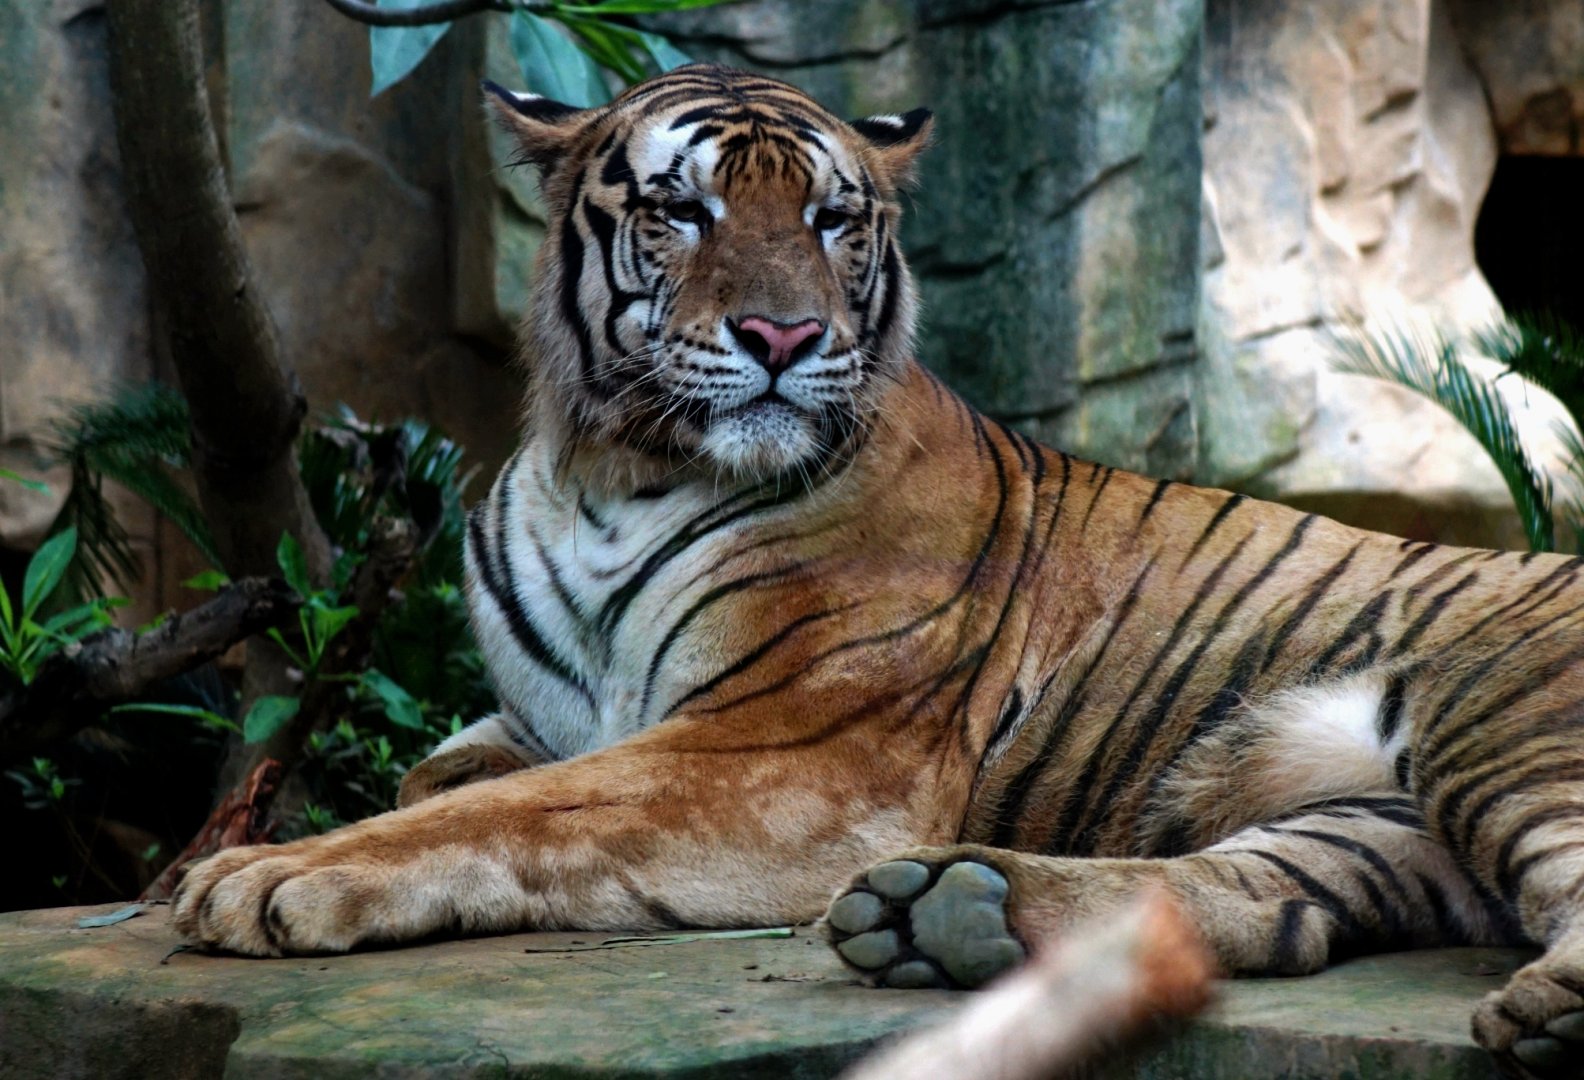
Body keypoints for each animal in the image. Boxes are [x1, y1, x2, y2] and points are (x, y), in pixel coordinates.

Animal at [173, 63, 1584, 1077]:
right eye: (680, 211)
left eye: (831, 219)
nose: (784, 335)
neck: (607, 474)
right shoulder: (545, 719)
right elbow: (449, 781)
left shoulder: (793, 751)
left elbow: (516, 812)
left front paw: (262, 875)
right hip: (1357, 816)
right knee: (1269, 899)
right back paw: (957, 914)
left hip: (1496, 720)